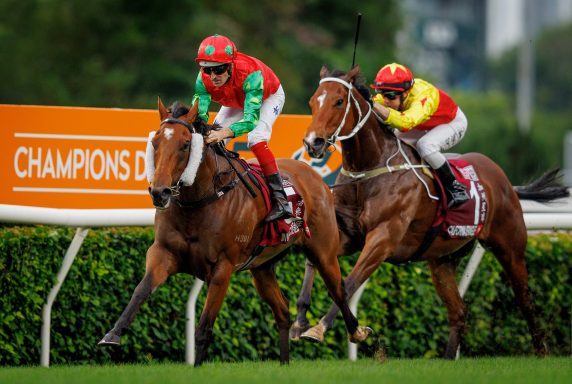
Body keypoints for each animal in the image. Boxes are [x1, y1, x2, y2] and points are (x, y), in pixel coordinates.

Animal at [98, 97, 370, 364]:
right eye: (155, 143)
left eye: (185, 145)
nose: (159, 192)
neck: (198, 201)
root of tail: (316, 178)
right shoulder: (163, 253)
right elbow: (141, 290)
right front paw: (113, 334)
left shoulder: (222, 268)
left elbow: (204, 328)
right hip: (261, 267)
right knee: (282, 310)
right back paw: (284, 363)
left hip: (323, 251)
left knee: (339, 290)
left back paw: (352, 332)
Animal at [292, 65, 568, 356]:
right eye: (312, 102)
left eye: (338, 101)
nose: (312, 143)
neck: (369, 169)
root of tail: (506, 183)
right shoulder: (348, 235)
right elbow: (321, 268)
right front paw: (300, 322)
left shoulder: (383, 239)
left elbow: (348, 283)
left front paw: (331, 329)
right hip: (443, 259)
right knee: (459, 312)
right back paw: (447, 359)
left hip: (510, 249)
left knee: (525, 300)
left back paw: (541, 351)